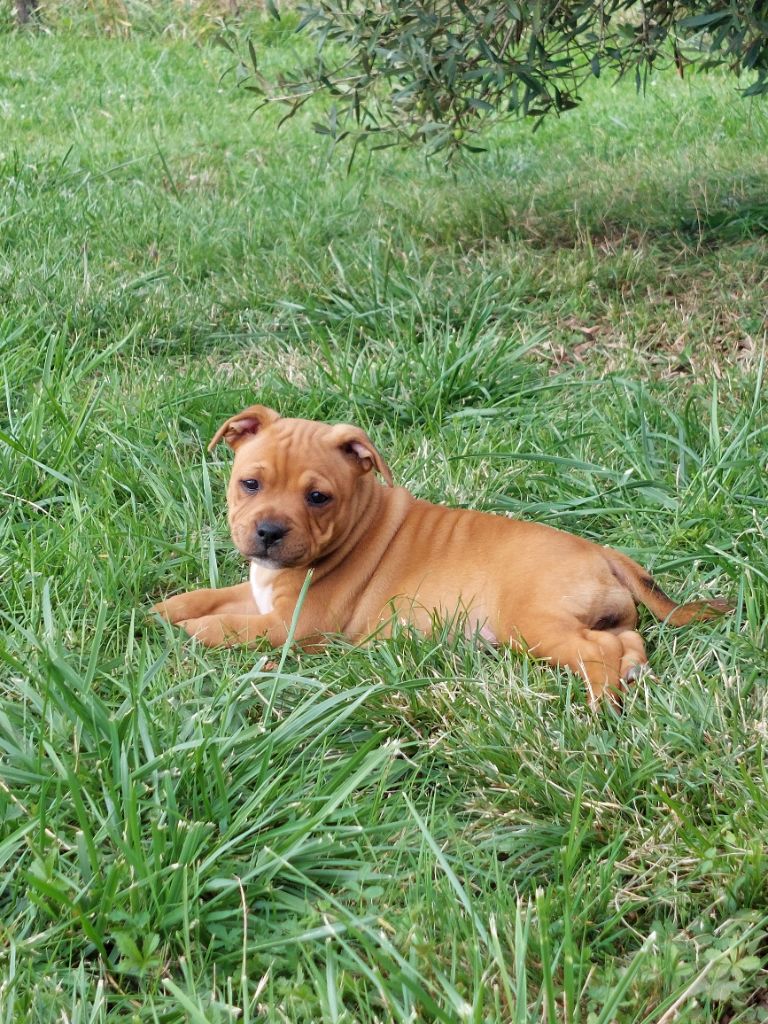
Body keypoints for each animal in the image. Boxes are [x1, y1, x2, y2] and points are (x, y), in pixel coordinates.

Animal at [152, 404, 731, 704]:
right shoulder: (262, 592)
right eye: (250, 484)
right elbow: (210, 595)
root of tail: (603, 552)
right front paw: (163, 609)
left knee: (600, 652)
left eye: (318, 498)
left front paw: (194, 632)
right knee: (627, 642)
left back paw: (597, 705)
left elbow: (232, 626)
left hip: (531, 623)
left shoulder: (296, 625)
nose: (269, 532)